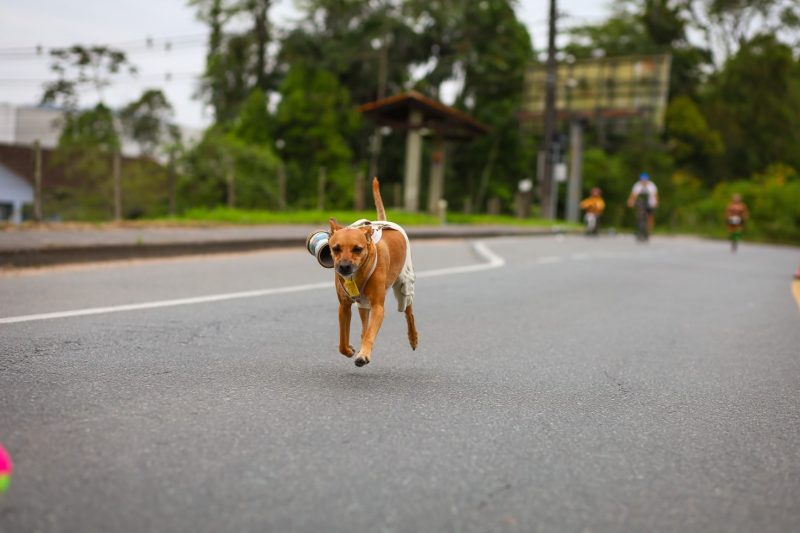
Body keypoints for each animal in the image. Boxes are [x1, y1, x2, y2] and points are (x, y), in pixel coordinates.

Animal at [330, 178, 422, 366]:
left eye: (357, 249)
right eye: (336, 248)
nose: (344, 267)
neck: (357, 275)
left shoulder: (378, 307)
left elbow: (371, 333)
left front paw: (364, 354)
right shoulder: (344, 306)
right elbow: (343, 341)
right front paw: (350, 350)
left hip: (404, 287)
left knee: (408, 312)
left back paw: (413, 337)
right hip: (363, 304)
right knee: (365, 326)